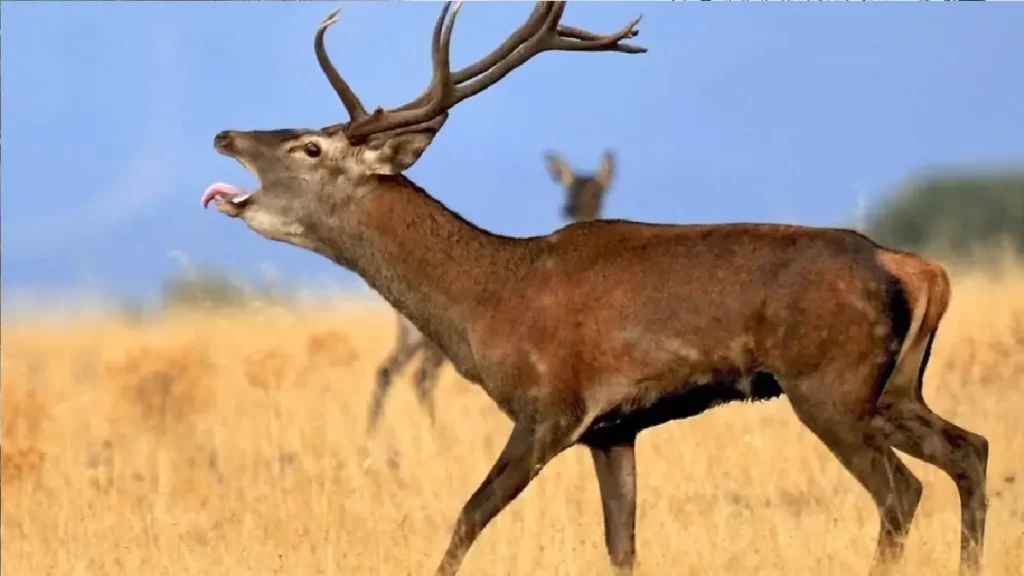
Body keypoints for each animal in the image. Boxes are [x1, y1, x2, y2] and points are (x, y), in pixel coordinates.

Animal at [365, 150, 617, 441]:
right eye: (569, 187)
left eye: (597, 191)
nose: (570, 208)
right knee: (421, 377)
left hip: (412, 337)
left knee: (388, 371)